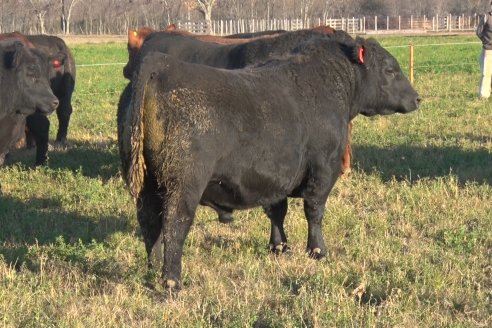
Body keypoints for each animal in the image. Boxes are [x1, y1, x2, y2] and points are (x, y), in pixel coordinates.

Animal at [117, 36, 420, 290]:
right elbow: (314, 212)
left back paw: (153, 266)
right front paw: (317, 251)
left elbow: (277, 211)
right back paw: (172, 280)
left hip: (148, 183)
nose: (417, 97)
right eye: (390, 69)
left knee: (149, 222)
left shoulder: (275, 176)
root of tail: (163, 63)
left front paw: (279, 247)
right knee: (175, 224)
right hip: (183, 184)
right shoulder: (323, 169)